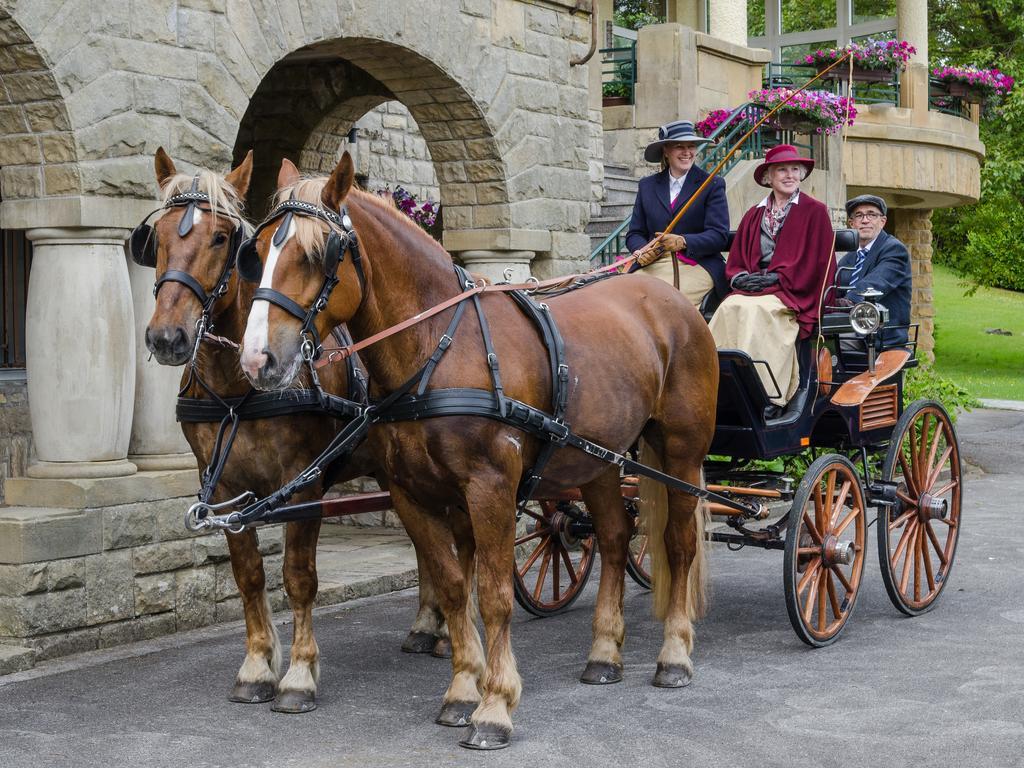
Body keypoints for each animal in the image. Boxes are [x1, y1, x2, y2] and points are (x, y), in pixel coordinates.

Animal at [144, 148, 448, 716]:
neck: (237, 390)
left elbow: (299, 578)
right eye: (157, 237)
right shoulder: (224, 490)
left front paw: (300, 676)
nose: (167, 337)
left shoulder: (302, 485)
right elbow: (249, 576)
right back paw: (427, 624)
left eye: (223, 238)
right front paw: (257, 666)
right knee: (427, 542)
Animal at [235, 153, 716, 749]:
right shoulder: (413, 495)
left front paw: (495, 705)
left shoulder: (491, 489)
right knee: (613, 537)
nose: (257, 360)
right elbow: (450, 585)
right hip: (599, 458)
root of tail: (670, 300)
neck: (438, 346)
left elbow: (491, 594)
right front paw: (464, 688)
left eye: (316, 253)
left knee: (677, 544)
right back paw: (604, 653)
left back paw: (674, 654)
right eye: (255, 253)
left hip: (682, 452)